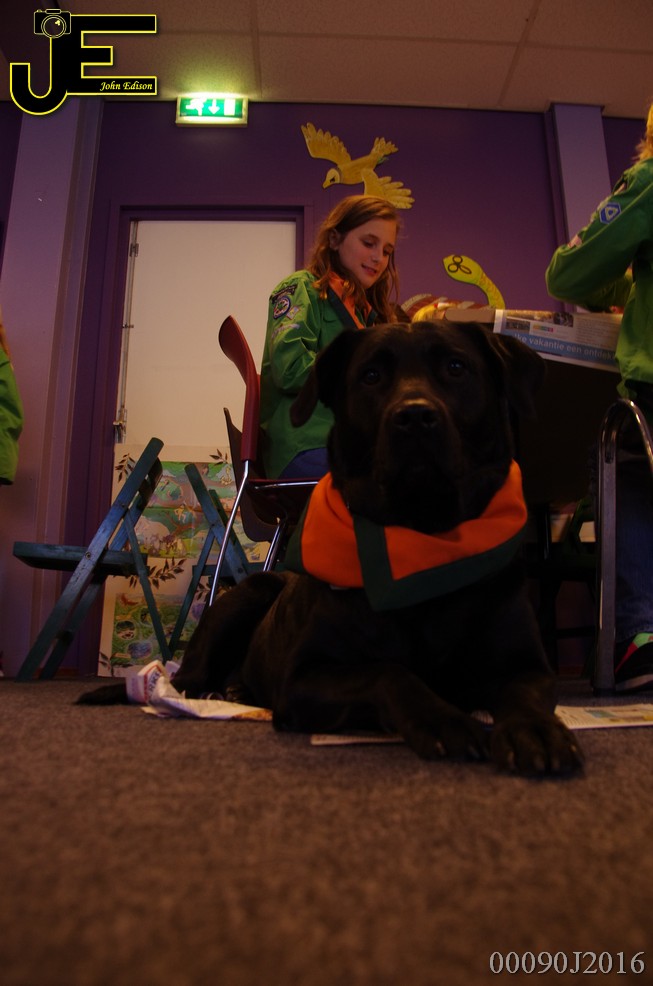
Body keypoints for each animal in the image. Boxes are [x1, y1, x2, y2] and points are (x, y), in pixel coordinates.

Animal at [82, 320, 583, 776]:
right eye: (371, 376)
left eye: (456, 368)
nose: (415, 416)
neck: (421, 535)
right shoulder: (304, 680)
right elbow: (388, 671)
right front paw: (444, 720)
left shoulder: (527, 666)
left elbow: (525, 695)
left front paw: (537, 730)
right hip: (246, 596)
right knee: (185, 681)